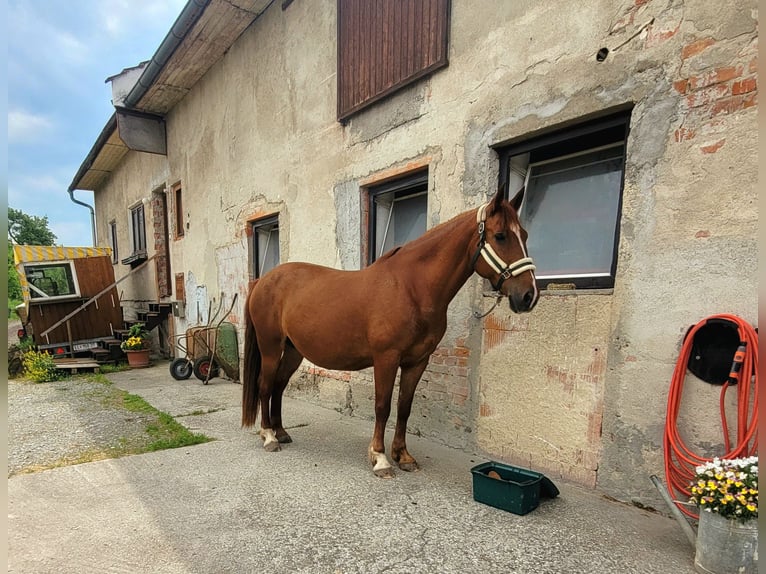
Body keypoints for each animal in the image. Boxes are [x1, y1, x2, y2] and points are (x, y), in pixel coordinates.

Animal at [242, 188, 540, 476]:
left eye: (525, 235)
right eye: (500, 236)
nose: (528, 295)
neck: (412, 287)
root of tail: (262, 281)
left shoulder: (417, 361)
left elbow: (404, 407)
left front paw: (403, 456)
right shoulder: (386, 358)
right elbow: (382, 406)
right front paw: (381, 458)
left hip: (294, 351)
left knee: (279, 385)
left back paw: (281, 432)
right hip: (271, 347)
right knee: (265, 385)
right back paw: (269, 437)